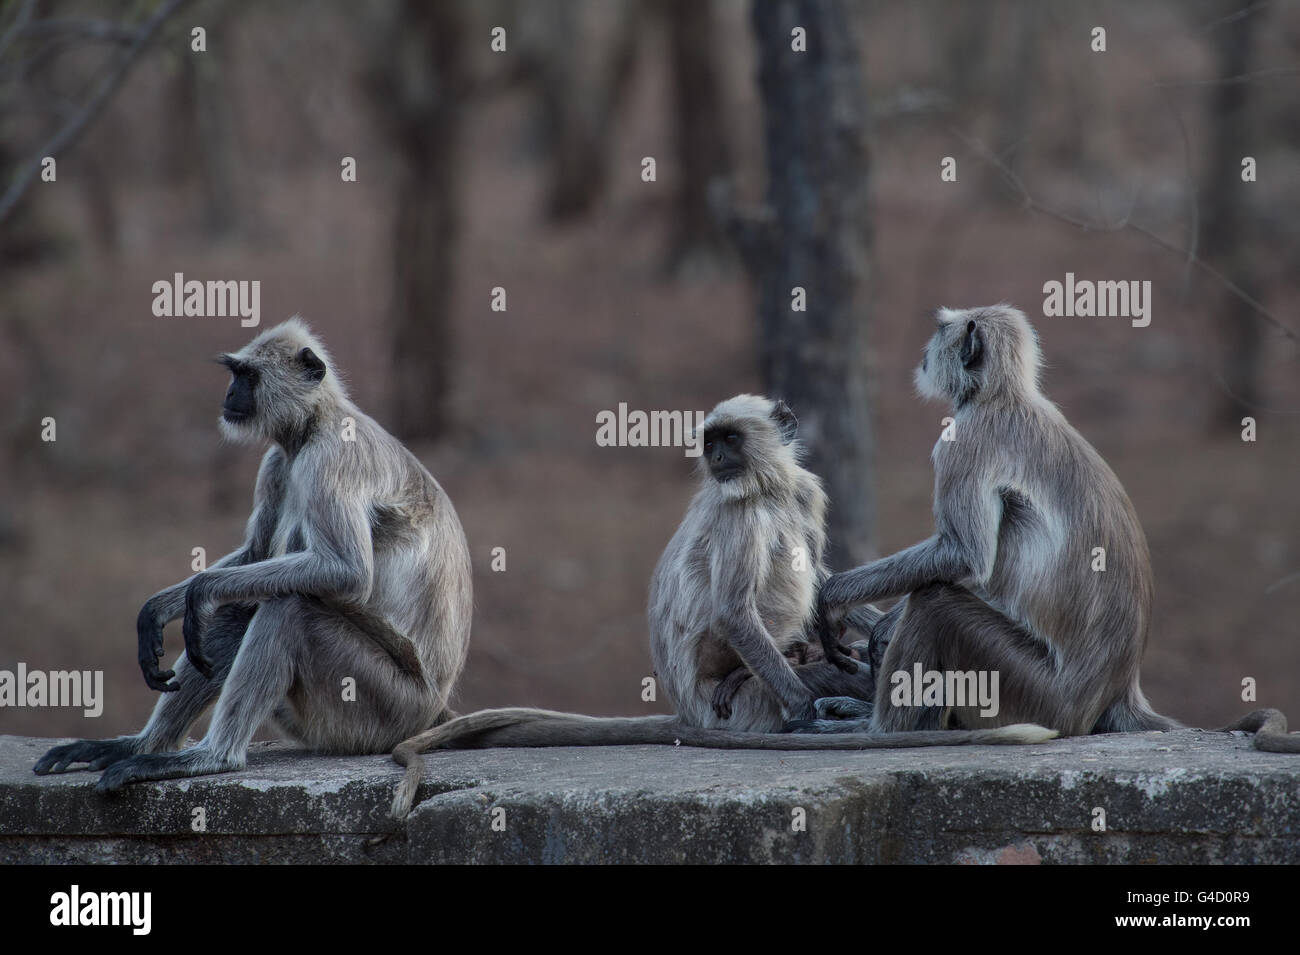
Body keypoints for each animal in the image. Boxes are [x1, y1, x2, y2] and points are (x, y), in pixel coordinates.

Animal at [32, 320, 473, 789]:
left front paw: (201, 589)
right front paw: (156, 610)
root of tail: (433, 709)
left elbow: (346, 571)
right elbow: (256, 553)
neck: (313, 424)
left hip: (384, 704)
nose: (228, 393)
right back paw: (140, 747)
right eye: (235, 374)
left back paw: (213, 758)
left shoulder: (332, 454)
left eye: (247, 376)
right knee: (236, 610)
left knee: (289, 607)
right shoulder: (278, 460)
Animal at [387, 394, 1055, 821]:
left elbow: (823, 581)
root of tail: (691, 710)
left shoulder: (805, 491)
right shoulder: (742, 511)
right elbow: (735, 611)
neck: (770, 486)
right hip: (742, 701)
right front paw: (809, 715)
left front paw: (861, 624)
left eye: (729, 438)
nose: (715, 457)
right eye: (711, 441)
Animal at [806, 306, 1294, 753]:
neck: (1001, 398)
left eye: (941, 331)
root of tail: (1117, 692)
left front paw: (835, 596)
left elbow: (965, 555)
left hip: (1030, 692)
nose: (924, 354)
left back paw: (877, 731)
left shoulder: (965, 440)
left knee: (936, 603)